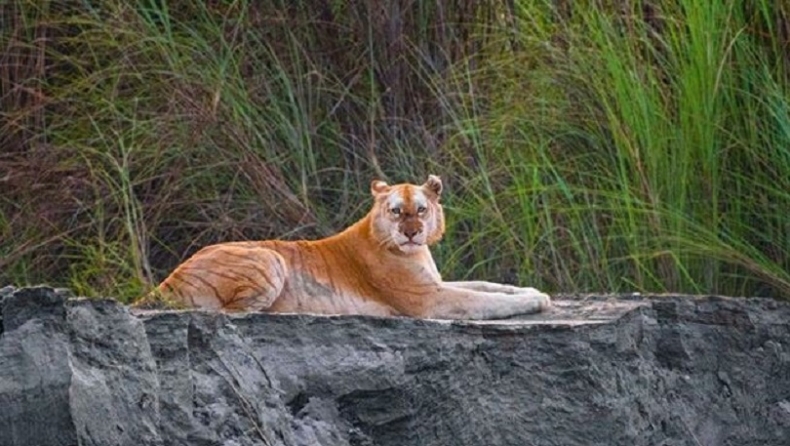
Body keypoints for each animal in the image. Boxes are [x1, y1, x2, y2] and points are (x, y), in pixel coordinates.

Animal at [136, 173, 552, 318]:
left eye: (421, 209)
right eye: (396, 211)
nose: (412, 233)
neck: (414, 251)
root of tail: (169, 278)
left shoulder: (436, 283)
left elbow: (488, 285)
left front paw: (536, 291)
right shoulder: (429, 300)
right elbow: (485, 300)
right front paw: (534, 302)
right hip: (270, 258)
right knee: (233, 312)